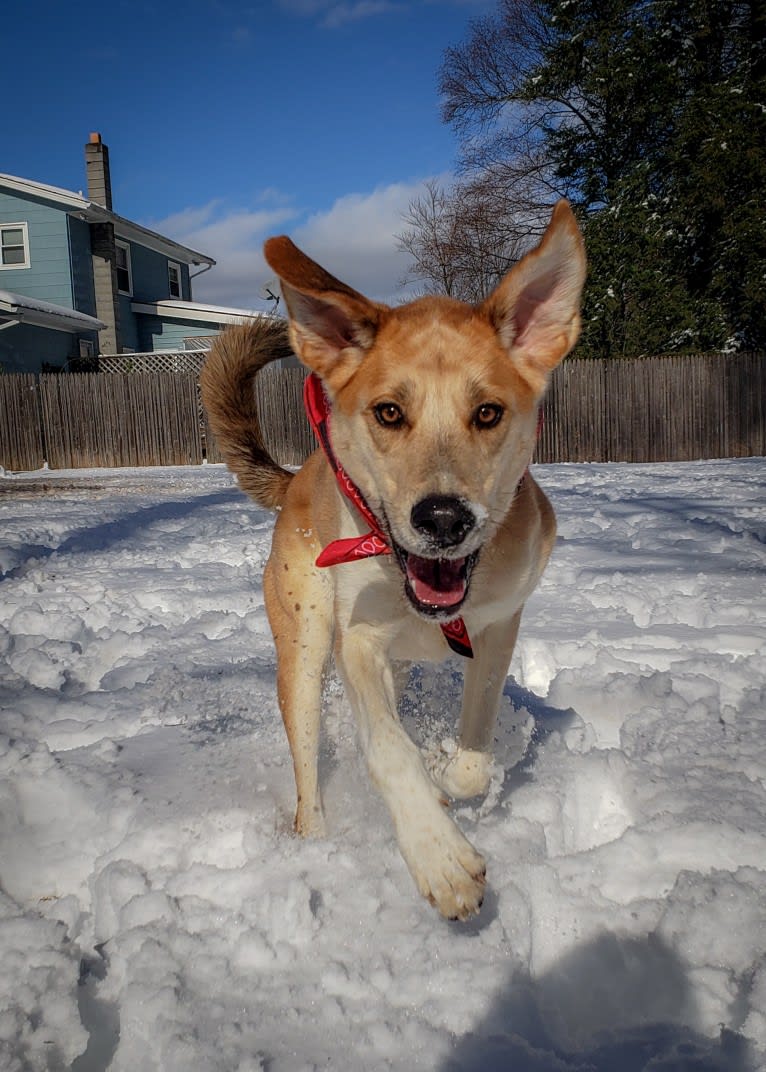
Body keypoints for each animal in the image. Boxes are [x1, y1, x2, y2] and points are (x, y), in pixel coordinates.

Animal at [200, 201, 582, 921]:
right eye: (388, 412)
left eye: (487, 412)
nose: (444, 519)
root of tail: (296, 479)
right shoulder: (359, 642)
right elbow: (386, 749)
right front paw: (438, 854)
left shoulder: (498, 629)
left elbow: (474, 752)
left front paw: (448, 779)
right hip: (303, 649)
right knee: (308, 776)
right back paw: (317, 842)